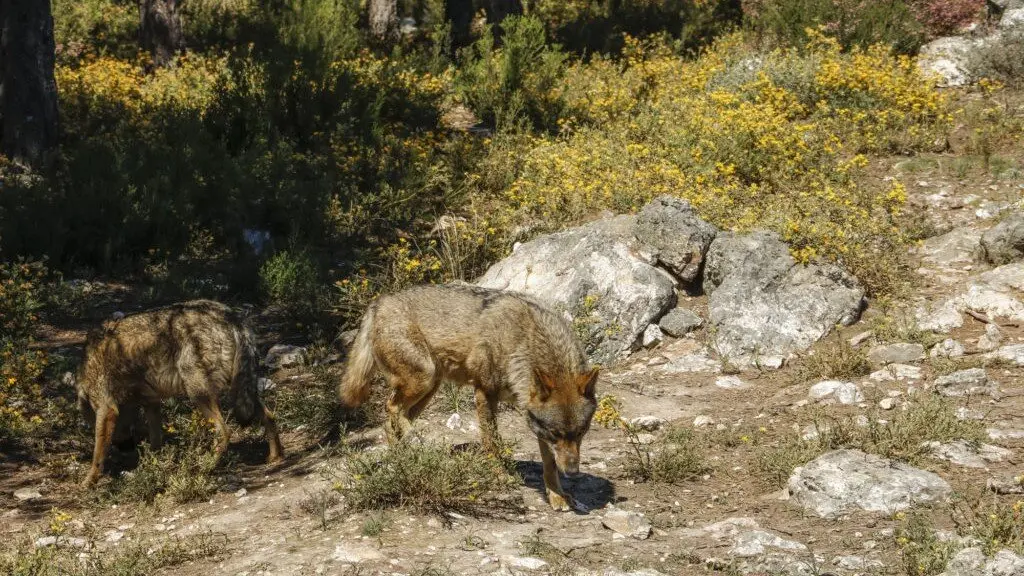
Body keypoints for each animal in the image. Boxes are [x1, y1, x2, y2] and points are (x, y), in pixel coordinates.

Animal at [75, 300, 284, 487]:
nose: (127, 447)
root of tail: (231, 316)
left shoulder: (107, 409)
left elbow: (98, 454)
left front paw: (89, 481)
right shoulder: (151, 403)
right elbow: (155, 442)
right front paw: (152, 467)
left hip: (198, 395)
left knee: (224, 431)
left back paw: (206, 465)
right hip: (240, 392)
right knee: (269, 417)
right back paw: (275, 457)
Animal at [339, 284, 599, 511]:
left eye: (581, 432)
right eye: (556, 434)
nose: (573, 472)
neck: (524, 340)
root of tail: (378, 302)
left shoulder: (534, 419)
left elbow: (549, 464)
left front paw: (557, 495)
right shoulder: (485, 392)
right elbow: (492, 442)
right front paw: (500, 475)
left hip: (430, 387)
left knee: (392, 421)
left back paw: (408, 456)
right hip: (424, 378)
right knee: (392, 408)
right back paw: (417, 444)